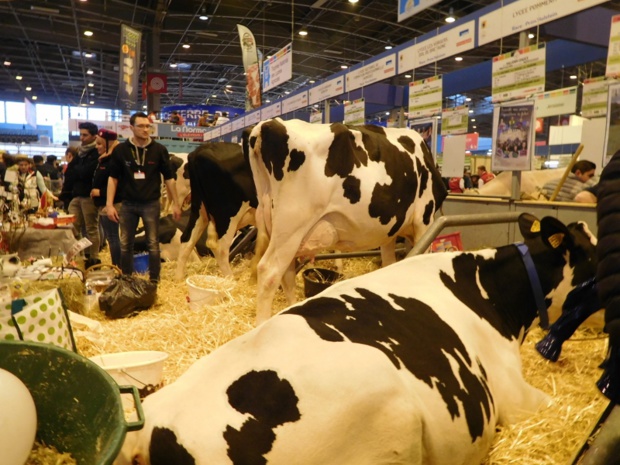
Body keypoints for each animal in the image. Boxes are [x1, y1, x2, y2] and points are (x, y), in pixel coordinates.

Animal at [174, 142, 260, 280]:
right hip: (227, 213)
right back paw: (230, 280)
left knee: (186, 239)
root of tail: (199, 150)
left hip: (199, 209)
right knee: (221, 248)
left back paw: (179, 278)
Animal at [246, 118, 446, 324]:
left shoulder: (389, 232)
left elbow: (389, 263)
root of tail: (268, 123)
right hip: (291, 227)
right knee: (269, 272)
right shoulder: (424, 219)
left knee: (287, 276)